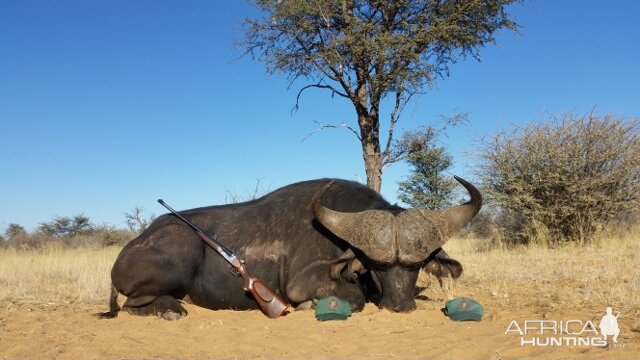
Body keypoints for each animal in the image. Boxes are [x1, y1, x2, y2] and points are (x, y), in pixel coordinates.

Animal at [100, 176, 480, 320]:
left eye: (415, 266)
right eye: (376, 267)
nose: (400, 306)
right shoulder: (302, 282)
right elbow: (353, 297)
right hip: (179, 251)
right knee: (134, 304)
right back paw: (169, 309)